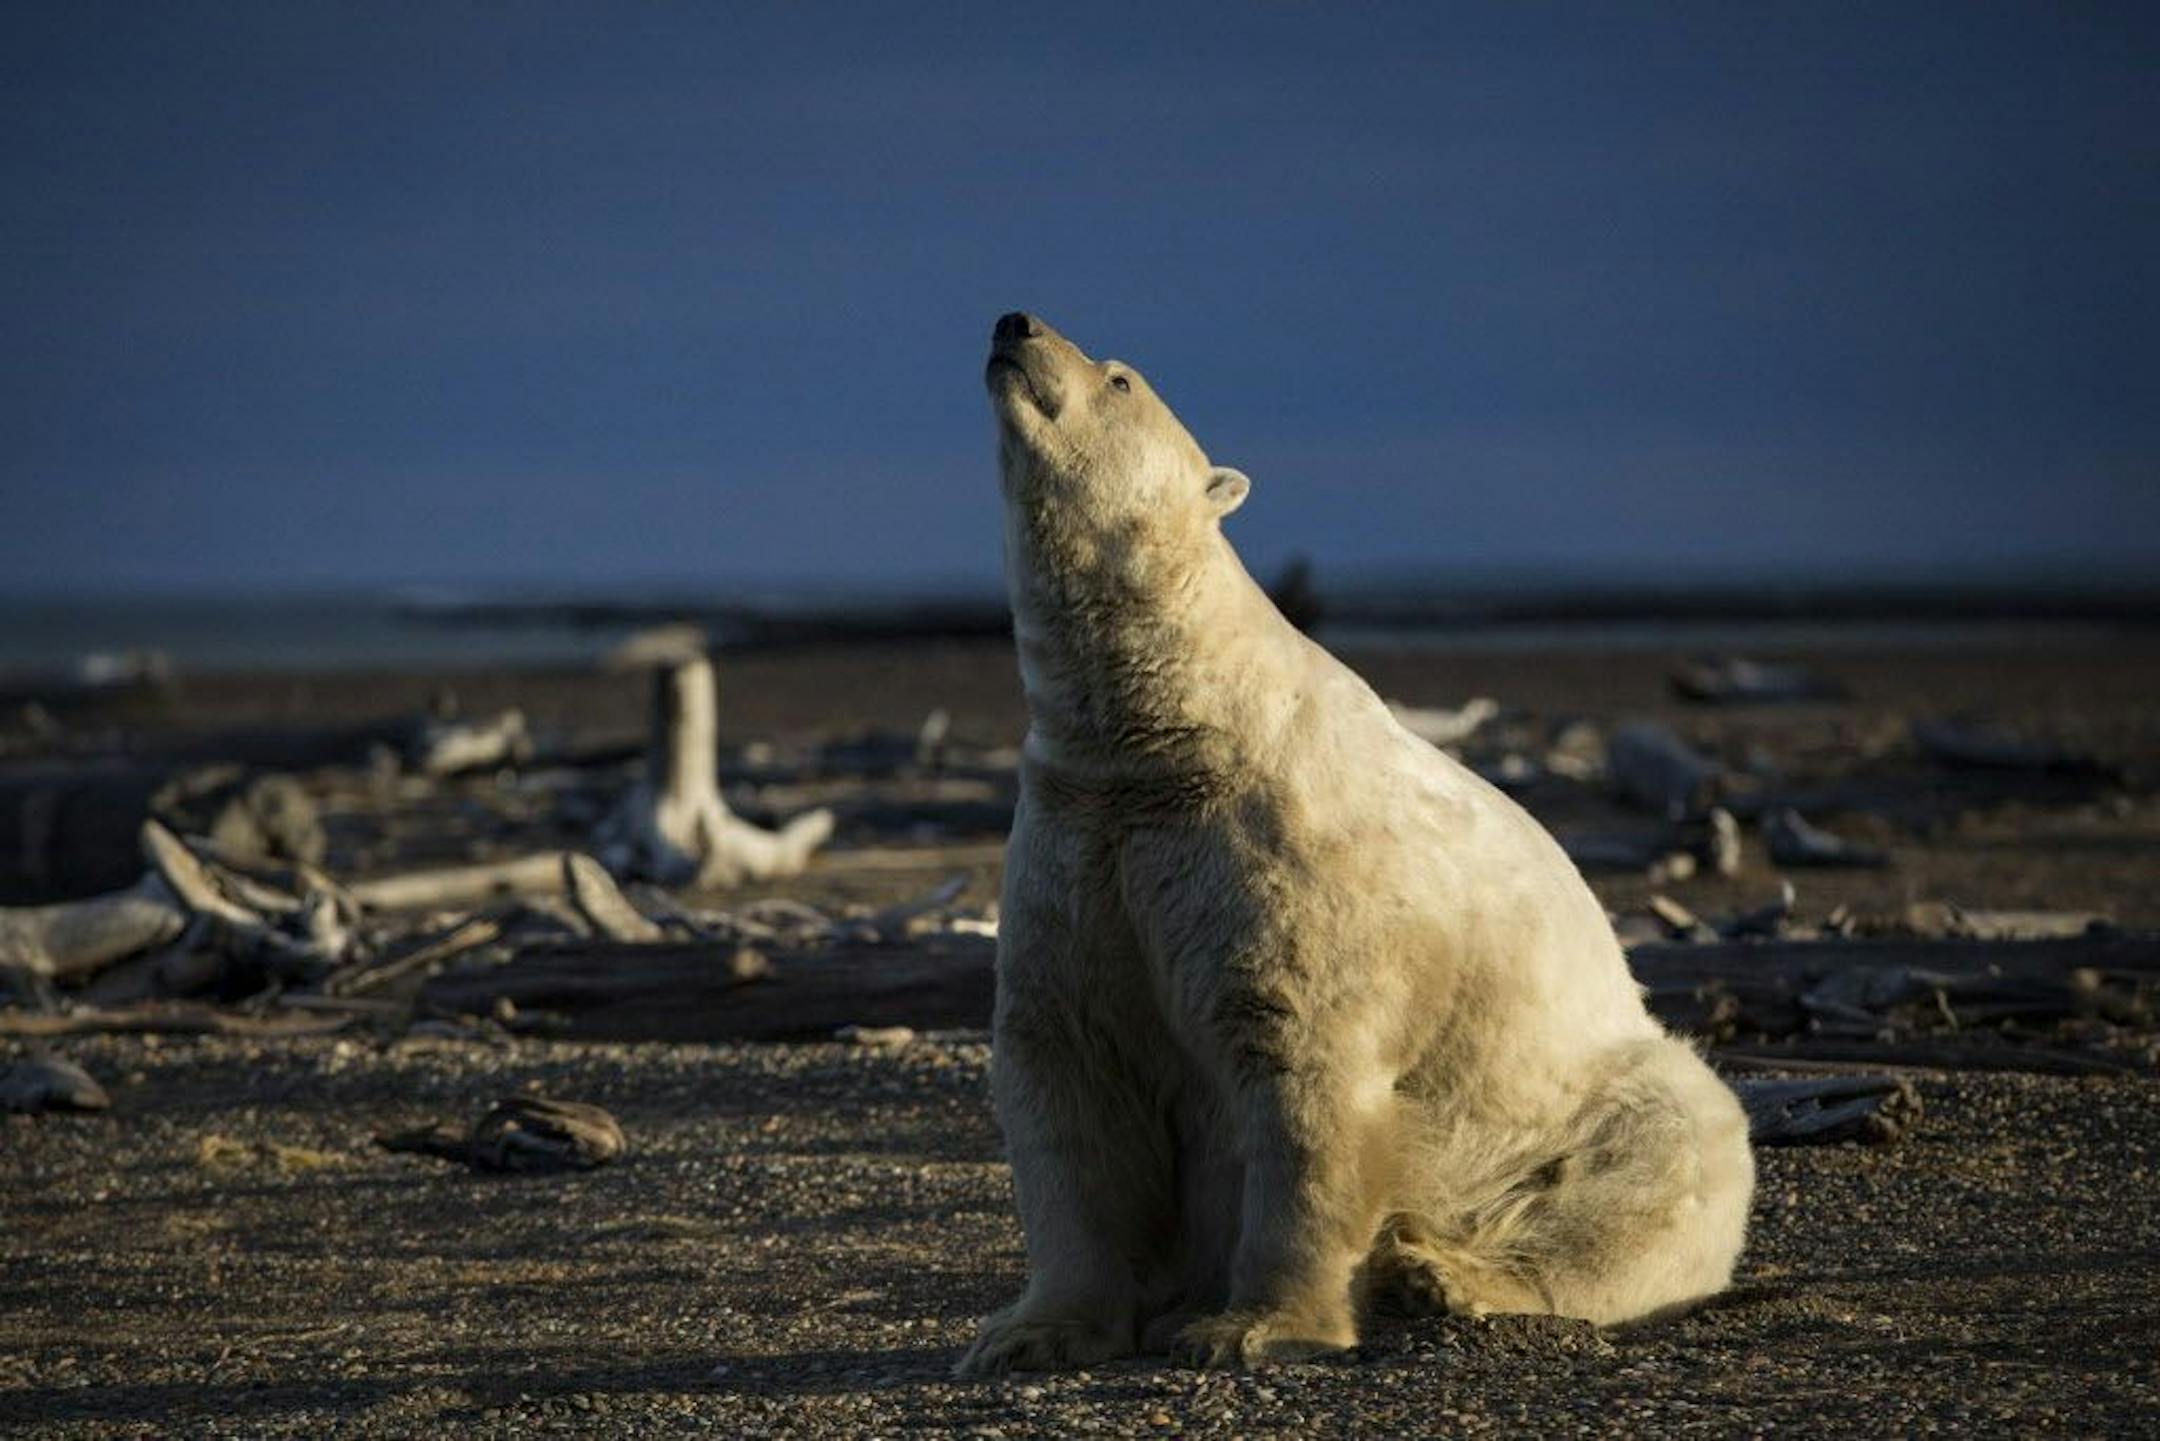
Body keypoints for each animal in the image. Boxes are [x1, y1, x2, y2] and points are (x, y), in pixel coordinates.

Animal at [956, 312, 1754, 1375]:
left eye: (1120, 377)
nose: (1015, 323)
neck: (1167, 732)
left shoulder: (1276, 860)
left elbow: (1306, 1077)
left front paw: (1252, 1327)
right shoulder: (1082, 839)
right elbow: (1069, 1074)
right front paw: (1029, 1332)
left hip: (1580, 1101)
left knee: (1654, 1162)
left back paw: (1442, 1274)